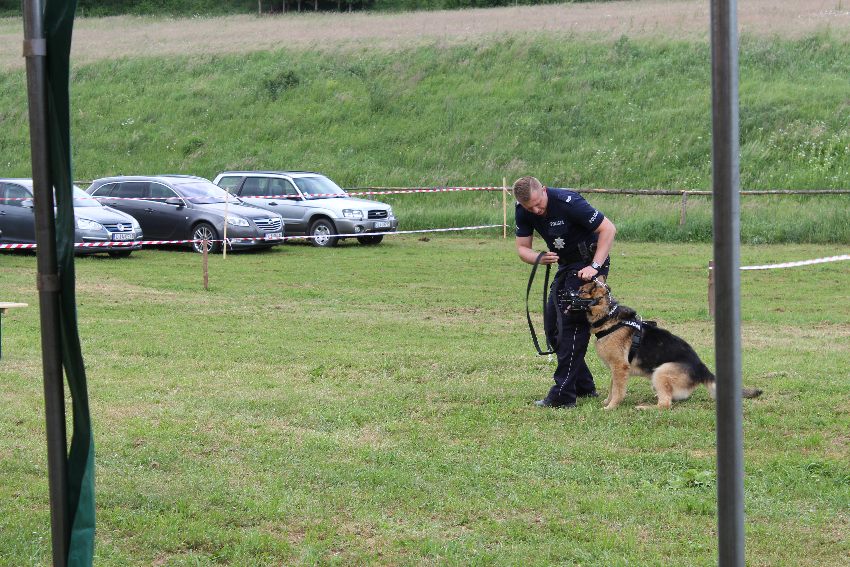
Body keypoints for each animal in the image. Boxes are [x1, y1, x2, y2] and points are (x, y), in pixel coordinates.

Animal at [576, 278, 762, 410]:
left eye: (581, 291)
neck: (608, 316)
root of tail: (703, 369)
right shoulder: (616, 369)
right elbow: (612, 387)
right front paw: (607, 402)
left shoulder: (620, 367)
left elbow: (618, 390)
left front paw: (611, 406)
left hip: (661, 371)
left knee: (665, 404)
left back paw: (644, 407)